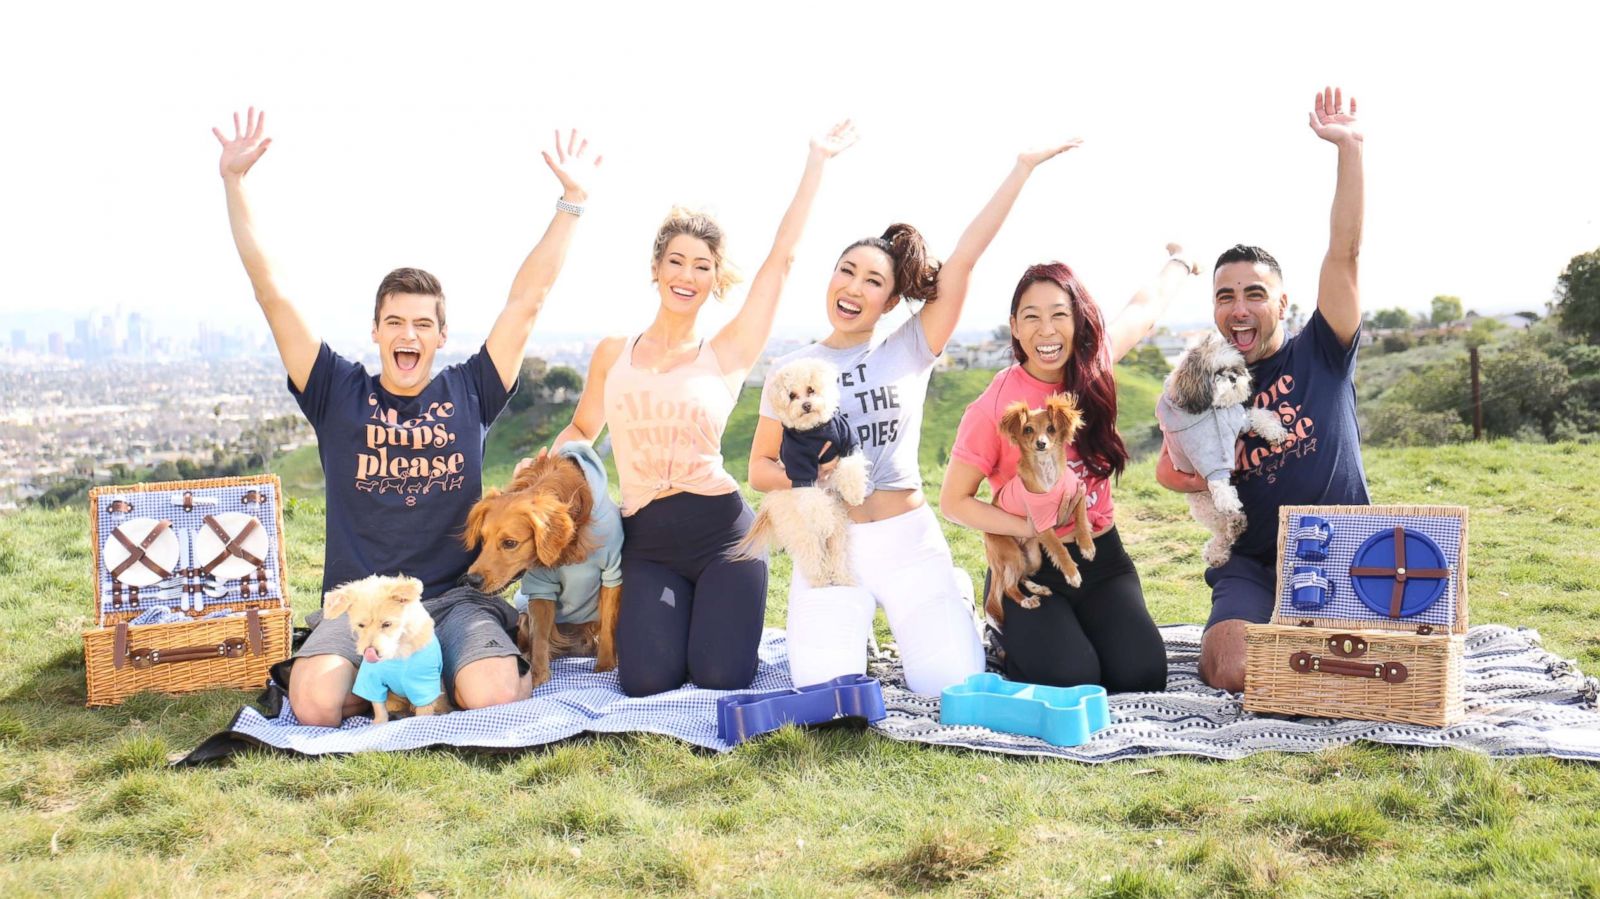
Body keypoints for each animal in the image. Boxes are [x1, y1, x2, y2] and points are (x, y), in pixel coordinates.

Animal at [323, 572, 454, 719]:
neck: (397, 652)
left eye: (387, 624)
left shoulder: (423, 684)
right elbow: (379, 709)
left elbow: (422, 715)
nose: (370, 651)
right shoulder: (372, 681)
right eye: (361, 625)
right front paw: (379, 721)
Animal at [464, 447, 617, 684]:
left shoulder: (612, 571)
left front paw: (606, 665)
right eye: (482, 539)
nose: (472, 580)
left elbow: (608, 623)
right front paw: (538, 675)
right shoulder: (541, 587)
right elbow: (540, 636)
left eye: (510, 543)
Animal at [972, 395, 1100, 627]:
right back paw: (1026, 600)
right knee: (1008, 586)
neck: (1047, 472)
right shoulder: (1042, 525)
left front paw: (1087, 546)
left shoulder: (1078, 493)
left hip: (1033, 557)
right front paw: (1072, 573)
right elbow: (1059, 548)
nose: (1041, 443)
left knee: (1021, 576)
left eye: (1051, 428)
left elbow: (1080, 518)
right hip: (1011, 553)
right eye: (1028, 429)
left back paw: (1036, 587)